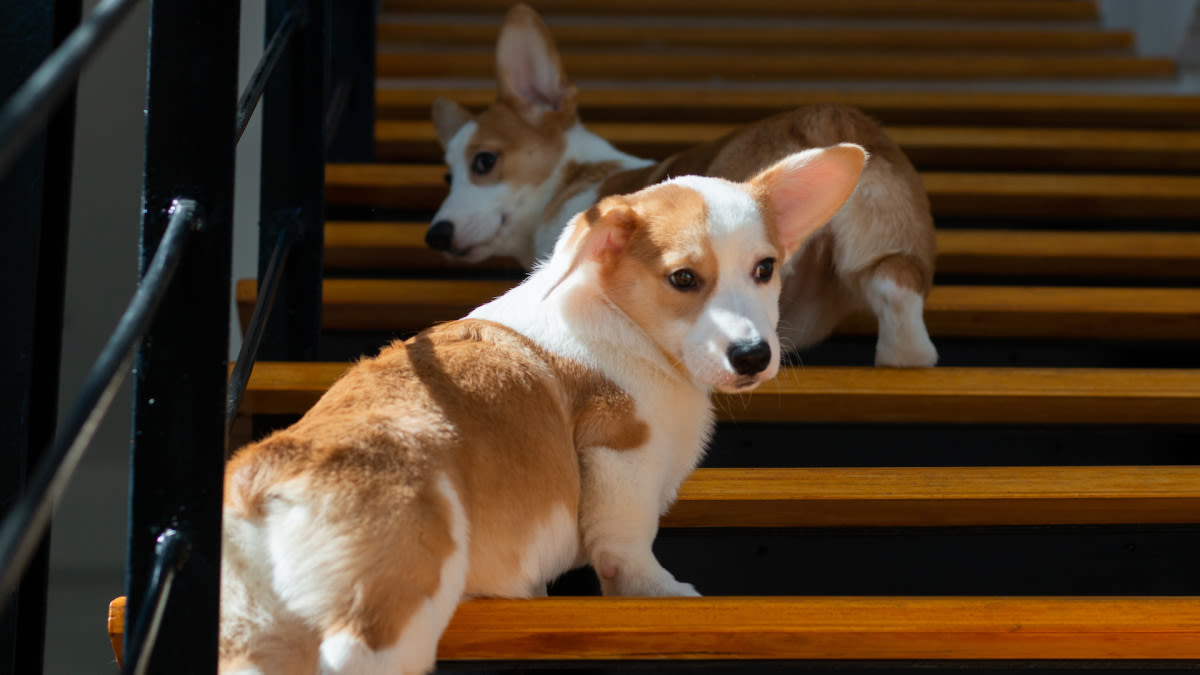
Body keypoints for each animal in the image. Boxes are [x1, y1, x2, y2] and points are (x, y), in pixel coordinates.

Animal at [220, 148, 868, 672]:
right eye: (684, 279)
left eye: (765, 269)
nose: (754, 355)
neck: (621, 318)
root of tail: (264, 479)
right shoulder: (620, 455)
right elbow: (629, 548)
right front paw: (664, 592)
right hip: (392, 602)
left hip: (252, 633)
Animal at [429, 2, 936, 365]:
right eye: (447, 175)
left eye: (484, 161)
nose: (436, 235)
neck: (572, 178)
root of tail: (824, 122)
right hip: (894, 260)